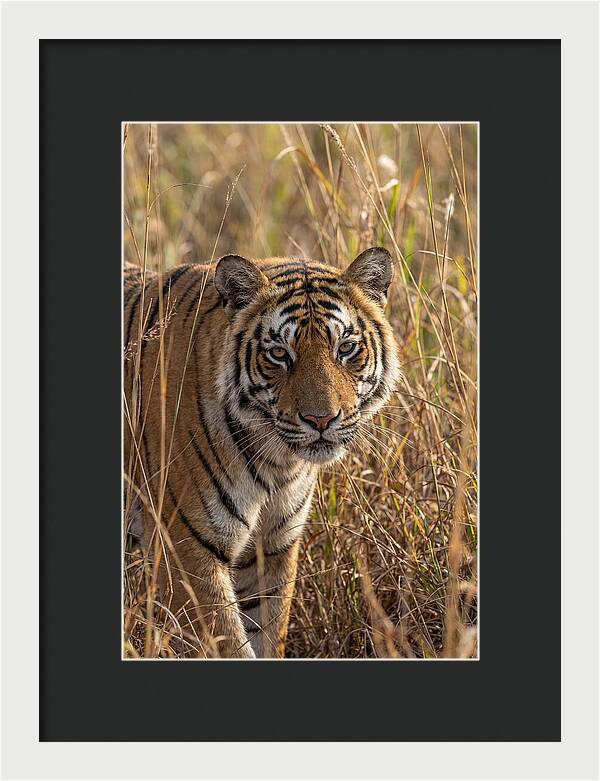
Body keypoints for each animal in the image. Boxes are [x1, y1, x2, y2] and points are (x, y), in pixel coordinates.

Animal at [123, 247, 400, 658]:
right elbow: (228, 644)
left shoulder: (272, 547)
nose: (321, 419)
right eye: (279, 354)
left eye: (346, 348)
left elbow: (268, 632)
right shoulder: (186, 550)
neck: (277, 463)